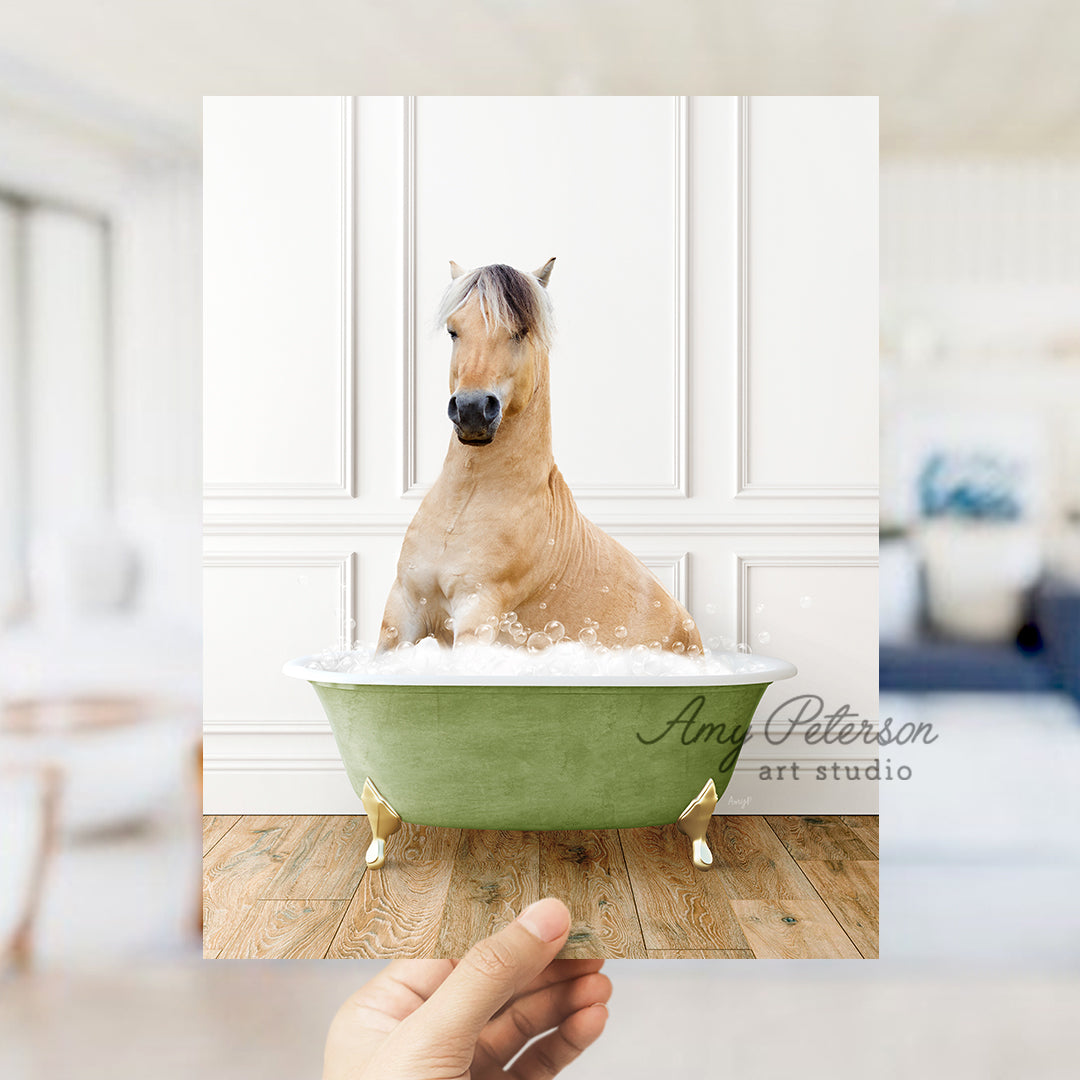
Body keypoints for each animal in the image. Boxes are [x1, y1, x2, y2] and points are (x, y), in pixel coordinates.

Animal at [375, 257, 704, 652]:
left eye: (520, 331)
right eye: (454, 331)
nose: (471, 410)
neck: (465, 505)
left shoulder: (477, 611)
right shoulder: (403, 607)